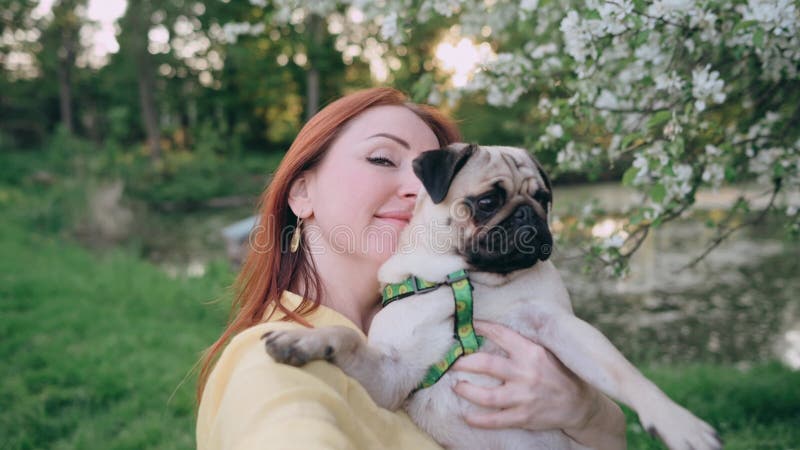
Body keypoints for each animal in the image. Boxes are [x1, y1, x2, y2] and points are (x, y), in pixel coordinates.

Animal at [260, 144, 720, 450]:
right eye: (486, 201)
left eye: (543, 199)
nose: (528, 214)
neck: (467, 279)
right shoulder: (394, 377)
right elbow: (347, 338)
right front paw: (302, 340)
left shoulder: (558, 325)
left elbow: (624, 373)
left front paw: (677, 422)